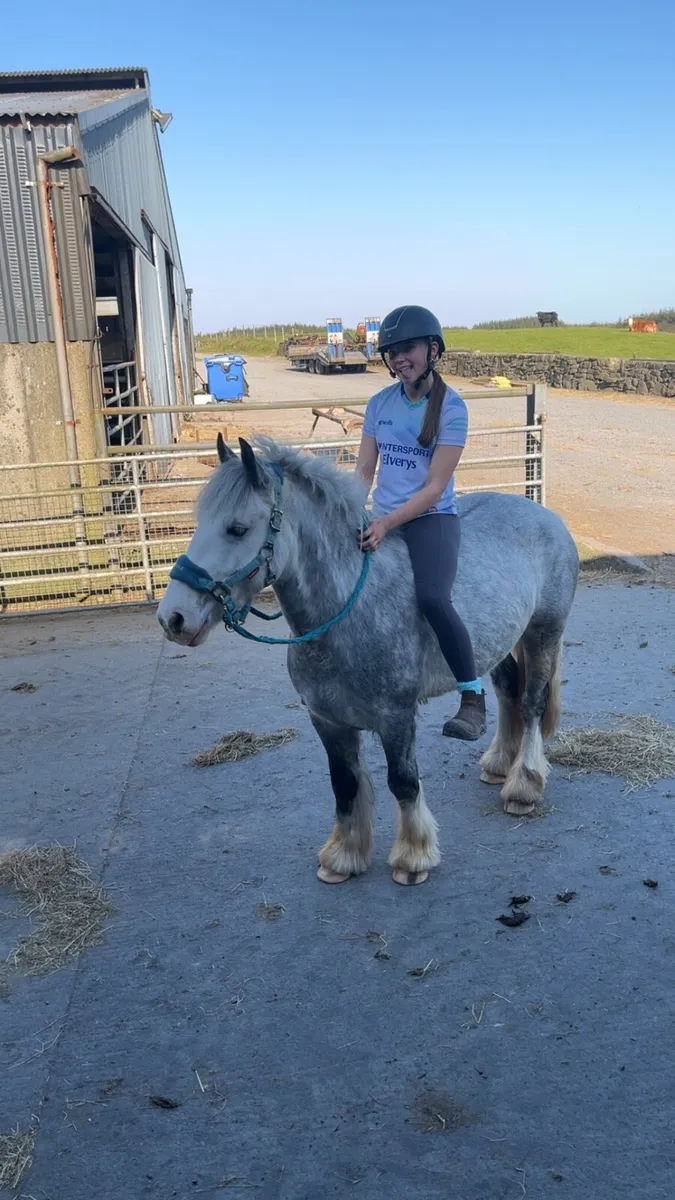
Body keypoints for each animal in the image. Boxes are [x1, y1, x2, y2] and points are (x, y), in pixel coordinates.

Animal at [158, 436, 579, 887]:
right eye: (200, 521)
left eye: (237, 528)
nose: (173, 618)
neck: (347, 609)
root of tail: (544, 515)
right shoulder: (327, 720)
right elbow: (344, 784)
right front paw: (343, 856)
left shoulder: (396, 718)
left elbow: (403, 782)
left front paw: (413, 857)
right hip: (498, 643)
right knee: (508, 692)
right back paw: (500, 762)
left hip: (542, 633)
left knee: (532, 703)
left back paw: (523, 785)